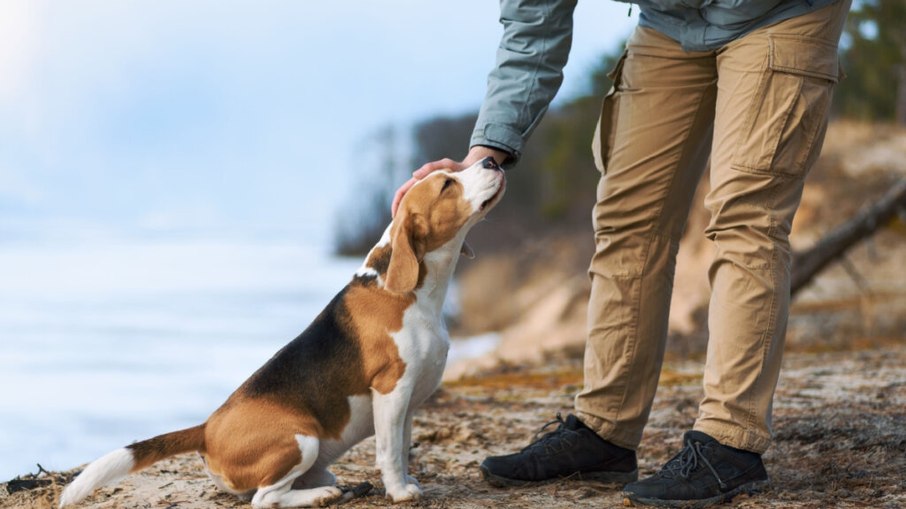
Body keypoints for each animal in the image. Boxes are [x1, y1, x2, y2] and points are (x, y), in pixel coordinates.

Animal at [60, 157, 504, 506]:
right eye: (446, 184)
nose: (491, 161)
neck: (415, 292)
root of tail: (206, 428)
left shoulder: (407, 402)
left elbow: (400, 447)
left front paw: (406, 481)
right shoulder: (391, 390)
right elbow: (389, 452)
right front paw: (399, 491)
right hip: (300, 439)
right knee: (265, 498)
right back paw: (321, 494)